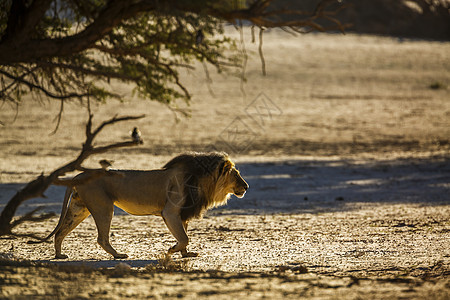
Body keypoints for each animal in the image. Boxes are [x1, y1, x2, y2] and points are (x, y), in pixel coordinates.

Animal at [31, 151, 250, 258]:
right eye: (236, 175)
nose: (247, 186)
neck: (203, 181)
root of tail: (78, 175)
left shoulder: (183, 213)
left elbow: (185, 236)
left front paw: (186, 254)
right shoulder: (170, 212)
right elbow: (184, 237)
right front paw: (172, 250)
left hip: (79, 209)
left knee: (60, 232)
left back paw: (59, 255)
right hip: (103, 207)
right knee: (101, 238)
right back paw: (119, 255)